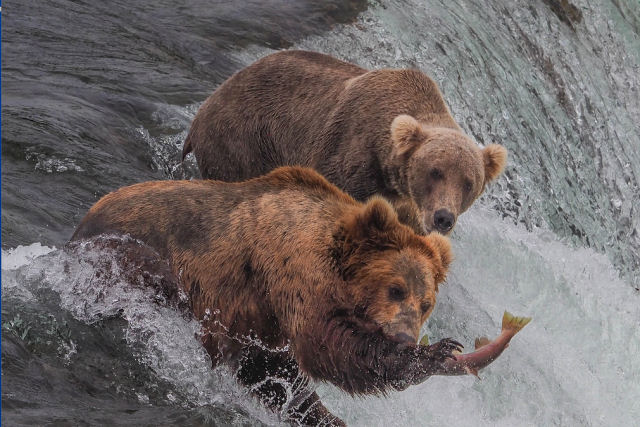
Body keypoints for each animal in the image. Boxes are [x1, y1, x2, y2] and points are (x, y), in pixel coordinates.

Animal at [71, 168, 460, 427]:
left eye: (425, 304)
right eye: (395, 289)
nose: (405, 336)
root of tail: (82, 221)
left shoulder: (264, 320)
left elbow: (280, 372)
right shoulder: (291, 273)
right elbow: (328, 345)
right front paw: (435, 354)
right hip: (130, 258)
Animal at [182, 51, 508, 237]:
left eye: (468, 183)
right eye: (435, 171)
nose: (443, 218)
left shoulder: (408, 211)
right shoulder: (348, 158)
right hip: (243, 138)